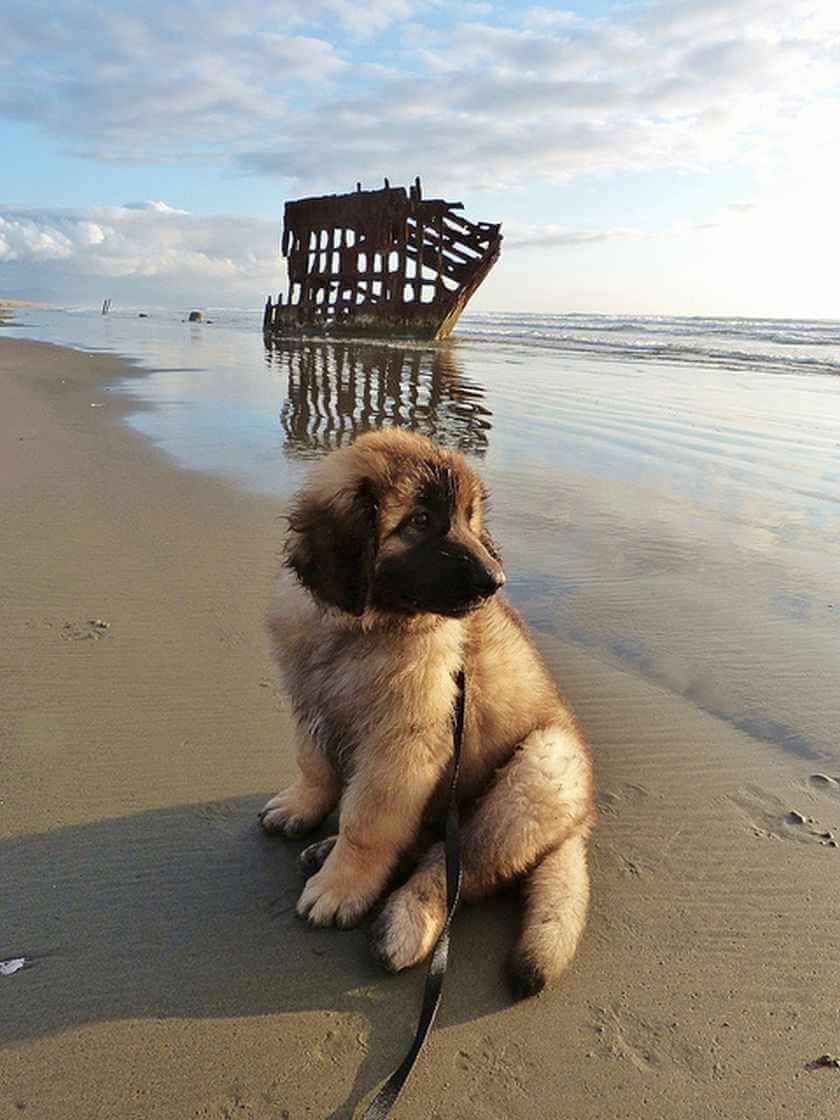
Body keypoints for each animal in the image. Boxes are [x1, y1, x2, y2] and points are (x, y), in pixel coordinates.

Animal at [259, 430, 595, 999]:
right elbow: (316, 766)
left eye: (468, 517)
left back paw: (404, 921)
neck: (366, 628)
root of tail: (578, 826)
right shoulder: (311, 705)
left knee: (455, 867)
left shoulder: (403, 745)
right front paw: (302, 808)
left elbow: (367, 823)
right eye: (418, 521)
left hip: (536, 772)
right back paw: (326, 848)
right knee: (427, 843)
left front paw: (342, 885)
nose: (496, 580)